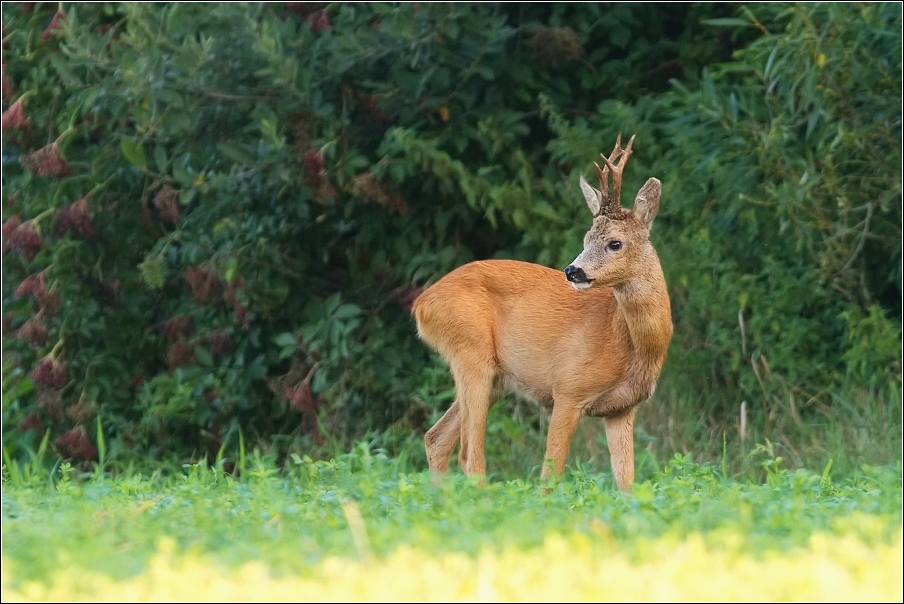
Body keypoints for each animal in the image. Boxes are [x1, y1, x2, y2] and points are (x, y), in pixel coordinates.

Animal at [410, 136, 672, 490]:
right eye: (586, 238)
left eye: (615, 243)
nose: (572, 271)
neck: (631, 345)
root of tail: (422, 303)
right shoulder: (568, 389)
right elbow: (550, 475)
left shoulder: (622, 409)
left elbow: (626, 484)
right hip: (469, 351)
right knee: (469, 455)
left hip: (495, 377)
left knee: (436, 438)